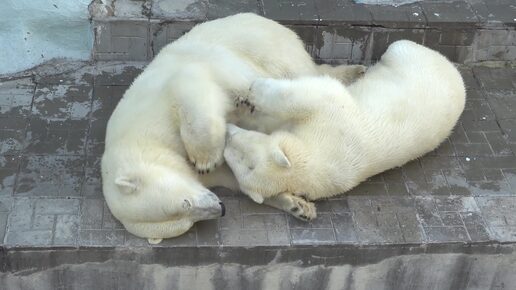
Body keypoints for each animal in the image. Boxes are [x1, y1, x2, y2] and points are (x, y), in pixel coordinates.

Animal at [102, 13, 366, 242]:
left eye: (184, 203)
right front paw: (297, 205)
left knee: (299, 74)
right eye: (187, 221)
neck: (140, 140)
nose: (221, 208)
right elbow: (235, 179)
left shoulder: (163, 96)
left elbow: (192, 93)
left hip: (265, 48)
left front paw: (205, 160)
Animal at [226, 40, 468, 220]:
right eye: (234, 160)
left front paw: (253, 91)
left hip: (410, 57)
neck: (316, 157)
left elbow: (310, 94)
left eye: (243, 156)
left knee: (397, 48)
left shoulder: (332, 119)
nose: (227, 132)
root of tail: (455, 71)